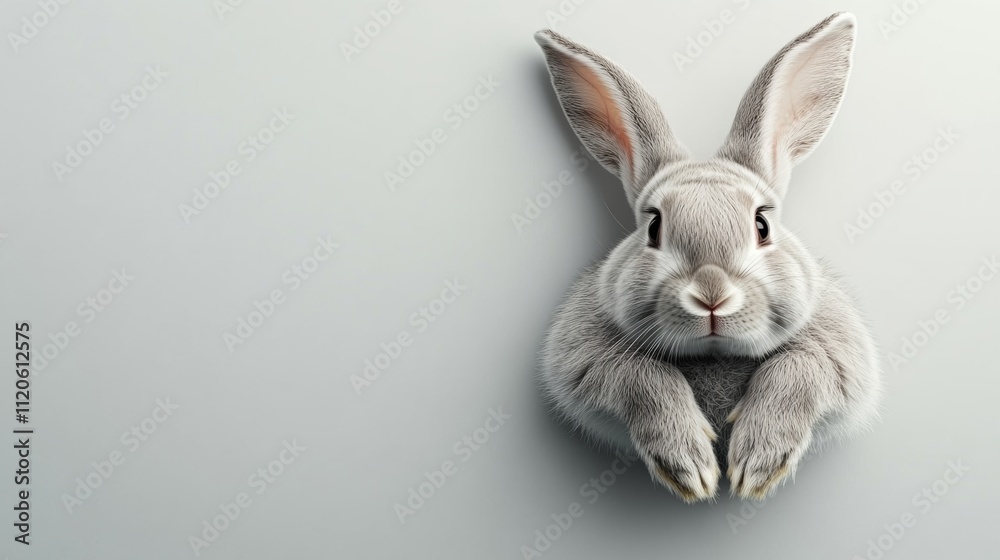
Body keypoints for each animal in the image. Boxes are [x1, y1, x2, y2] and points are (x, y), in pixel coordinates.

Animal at [535, 12, 881, 503]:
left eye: (762, 224)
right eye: (654, 227)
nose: (712, 295)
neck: (714, 354)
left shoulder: (838, 355)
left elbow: (797, 370)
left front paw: (757, 465)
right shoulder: (584, 359)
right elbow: (641, 377)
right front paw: (690, 468)